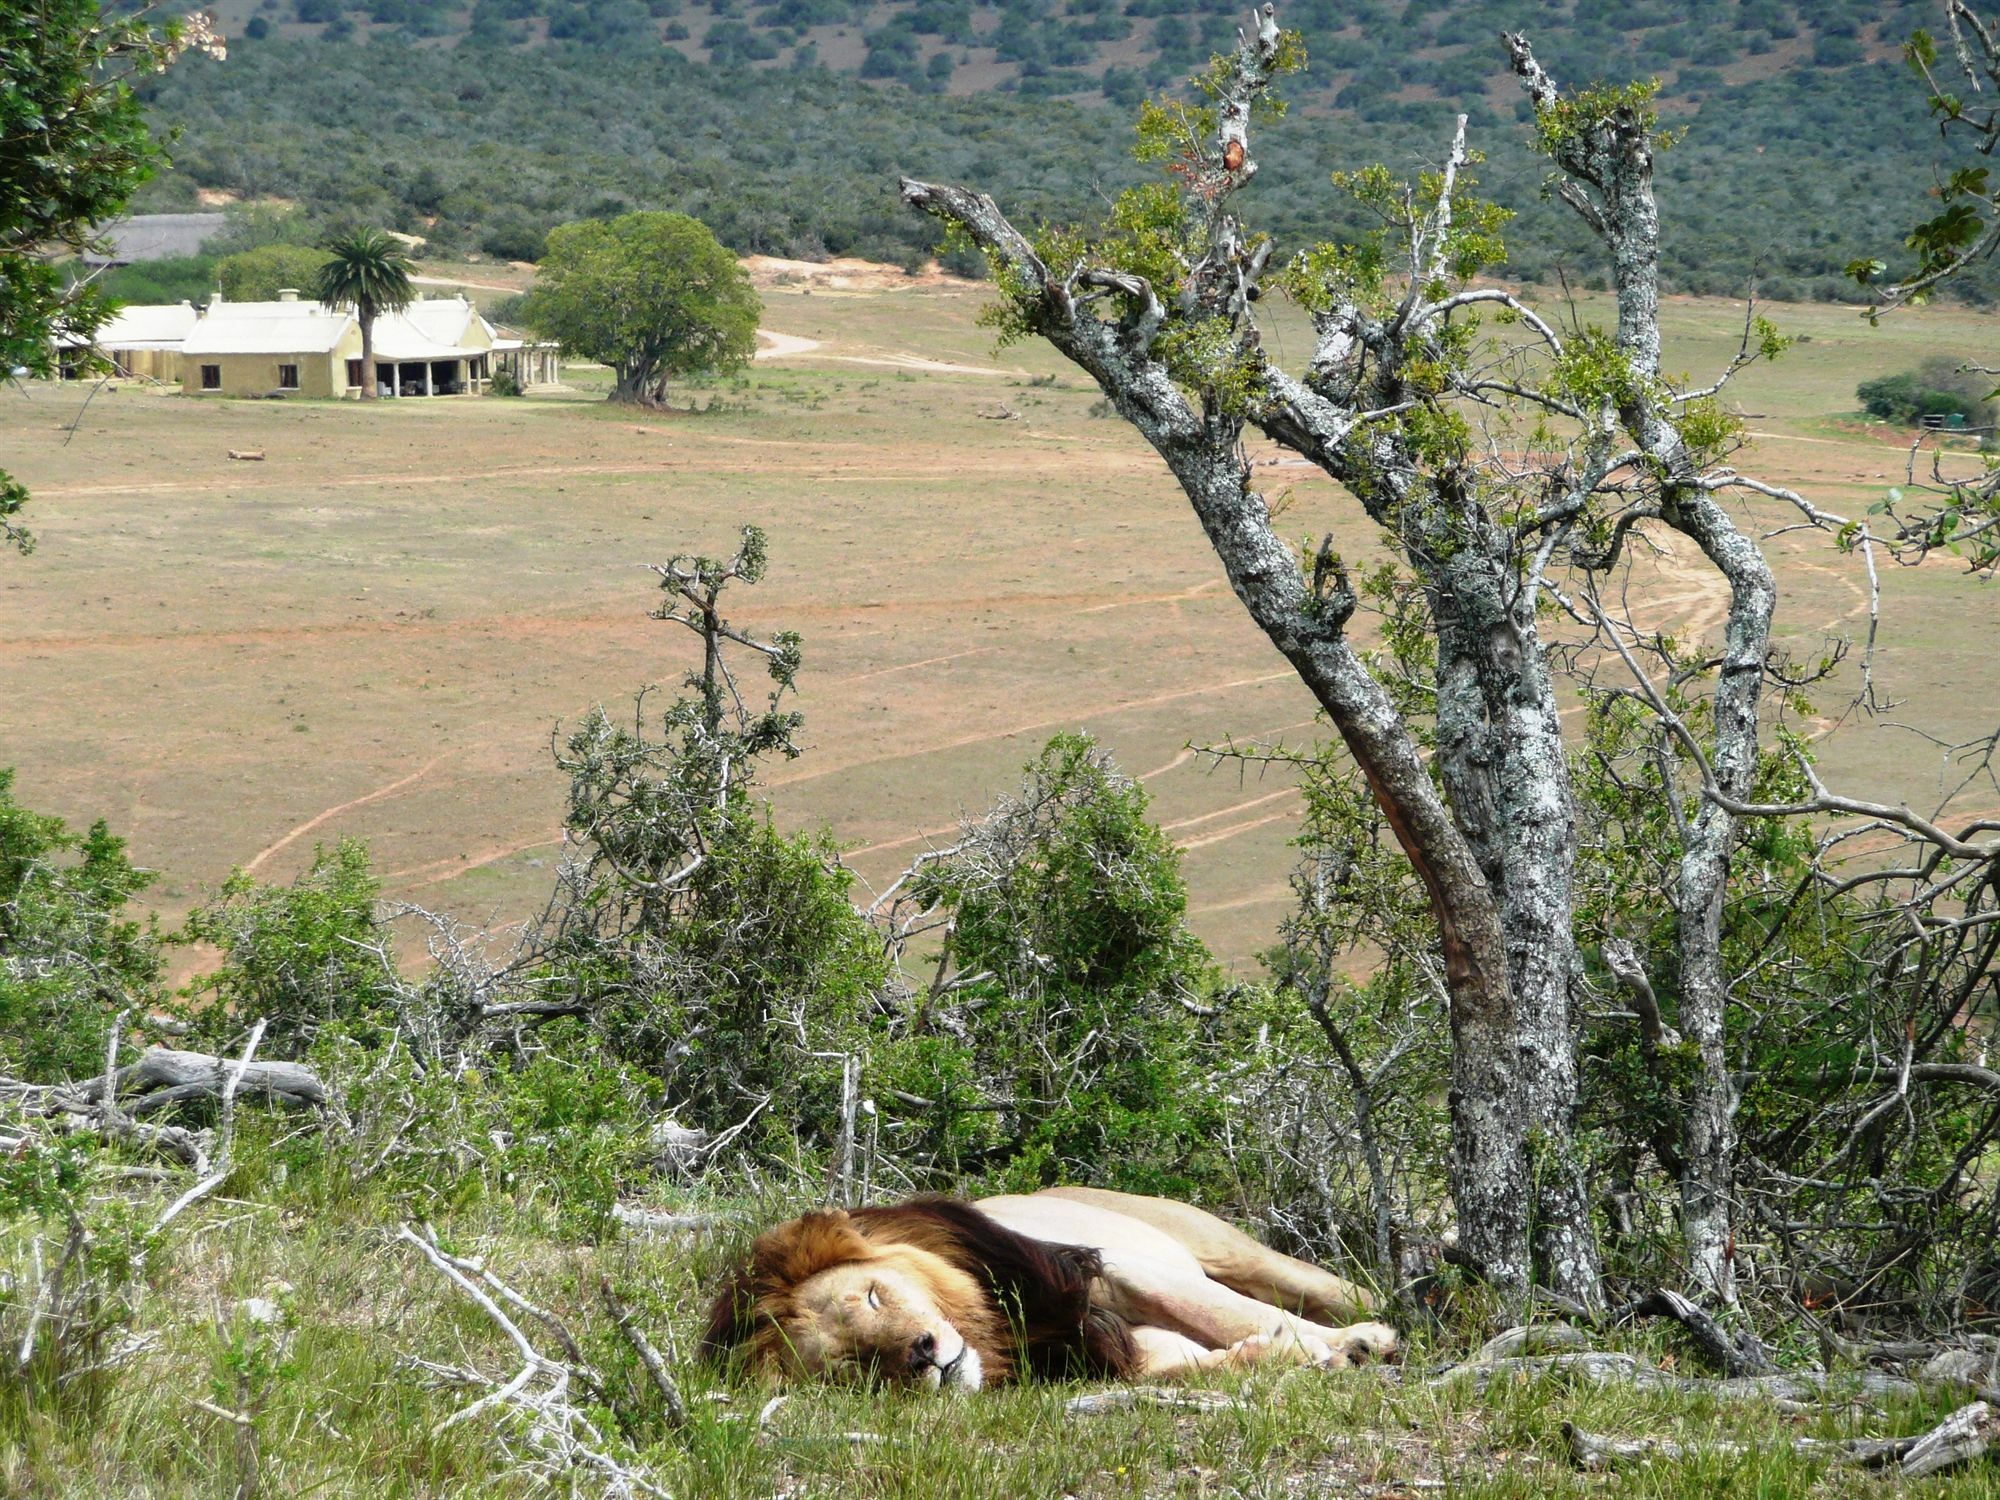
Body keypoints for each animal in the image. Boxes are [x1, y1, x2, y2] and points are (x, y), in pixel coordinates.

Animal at [712, 1192, 1400, 1392]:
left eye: (874, 1296)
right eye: (854, 1366)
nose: (921, 1353)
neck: (994, 1329)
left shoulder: (1110, 1270)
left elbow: (1222, 1311)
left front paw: (1354, 1345)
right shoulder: (1124, 1354)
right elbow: (1198, 1363)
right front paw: (1289, 1354)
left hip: (1224, 1248)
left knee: (1346, 1289)